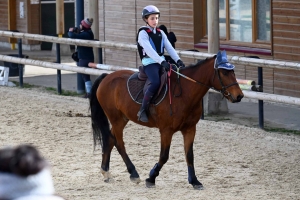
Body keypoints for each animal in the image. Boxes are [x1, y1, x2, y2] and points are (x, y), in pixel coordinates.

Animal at [89, 50, 244, 190]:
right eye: (224, 73)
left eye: (233, 72)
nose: (239, 96)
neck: (185, 93)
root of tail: (107, 77)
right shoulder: (166, 131)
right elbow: (164, 156)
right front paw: (151, 178)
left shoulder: (190, 129)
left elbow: (189, 155)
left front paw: (194, 181)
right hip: (115, 118)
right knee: (118, 143)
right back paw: (133, 173)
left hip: (122, 119)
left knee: (110, 139)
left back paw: (106, 172)